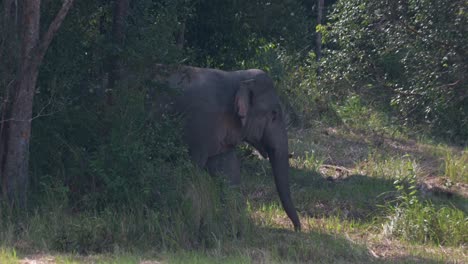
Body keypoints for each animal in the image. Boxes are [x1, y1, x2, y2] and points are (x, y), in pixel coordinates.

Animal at [152, 64, 302, 231]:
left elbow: (228, 172)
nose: (297, 228)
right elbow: (191, 168)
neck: (237, 78)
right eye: (274, 114)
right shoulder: (198, 125)